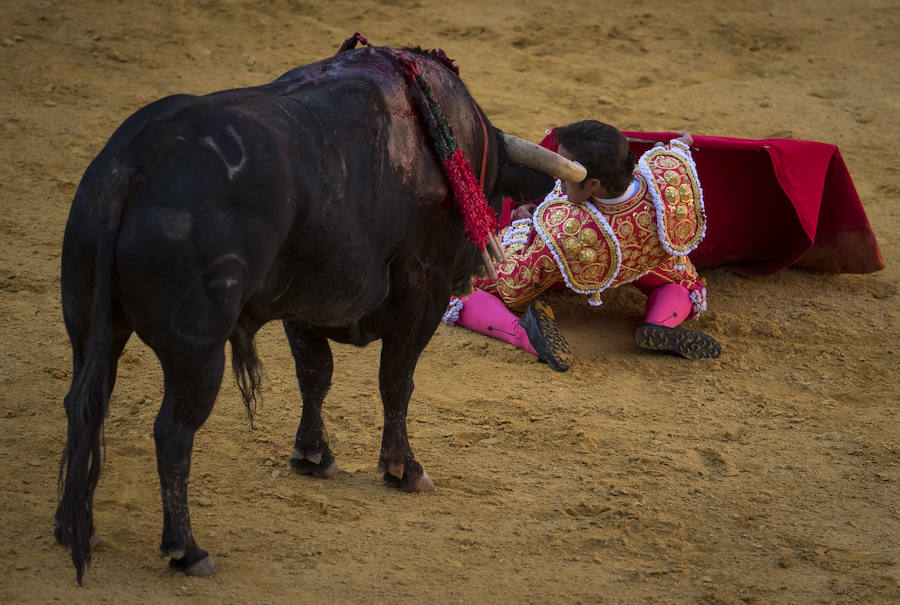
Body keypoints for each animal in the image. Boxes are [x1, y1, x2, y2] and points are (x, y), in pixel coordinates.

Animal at [56, 44, 552, 584]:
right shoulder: (424, 290)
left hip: (90, 327)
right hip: (197, 352)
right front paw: (404, 469)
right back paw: (186, 549)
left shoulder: (302, 299)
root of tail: (133, 164)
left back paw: (73, 527)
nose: (476, 268)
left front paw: (313, 455)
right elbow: (395, 382)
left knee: (84, 404)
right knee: (172, 432)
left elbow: (315, 375)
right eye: (495, 192)